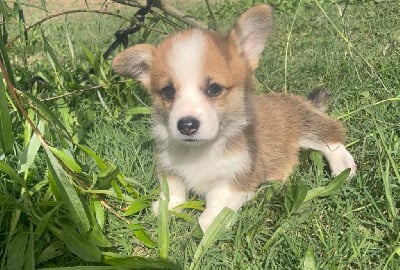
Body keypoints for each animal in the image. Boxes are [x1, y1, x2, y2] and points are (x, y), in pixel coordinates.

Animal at [111, 4, 356, 232]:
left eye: (214, 89)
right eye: (168, 91)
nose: (187, 126)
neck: (201, 149)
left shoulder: (239, 172)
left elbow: (220, 195)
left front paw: (211, 221)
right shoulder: (167, 165)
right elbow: (173, 187)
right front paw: (166, 207)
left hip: (305, 124)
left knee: (331, 134)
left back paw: (343, 165)